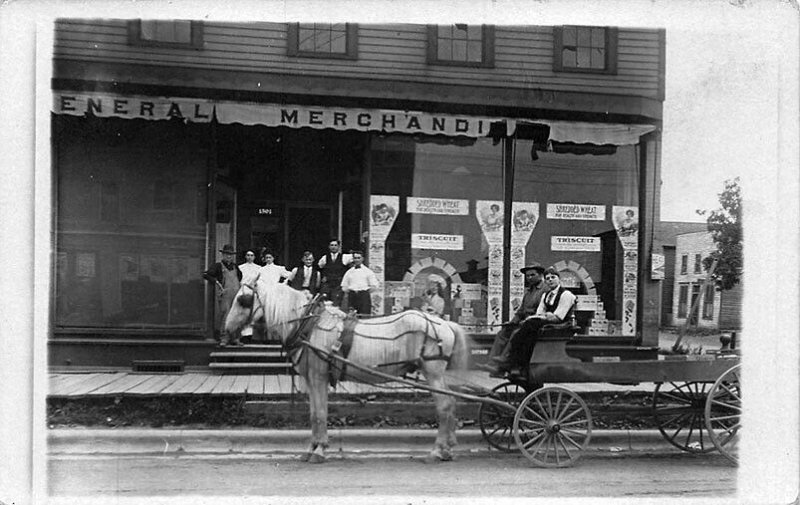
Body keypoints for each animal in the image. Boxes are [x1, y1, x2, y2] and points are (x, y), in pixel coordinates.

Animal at [225, 282, 472, 462]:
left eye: (242, 300)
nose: (227, 328)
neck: (309, 325)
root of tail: (444, 323)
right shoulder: (311, 379)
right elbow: (314, 413)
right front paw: (313, 447)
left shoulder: (318, 377)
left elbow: (320, 413)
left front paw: (319, 450)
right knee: (451, 403)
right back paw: (448, 447)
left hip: (433, 373)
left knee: (445, 405)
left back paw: (439, 450)